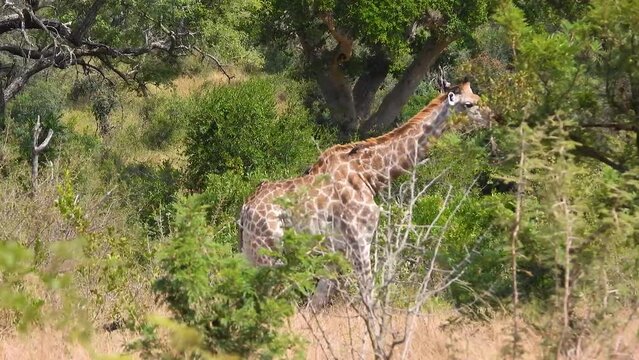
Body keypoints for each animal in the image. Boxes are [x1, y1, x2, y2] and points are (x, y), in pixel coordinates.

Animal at [240, 80, 496, 308]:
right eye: (469, 104)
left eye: (477, 96)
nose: (494, 117)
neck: (371, 176)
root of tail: (244, 210)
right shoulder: (359, 239)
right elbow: (368, 293)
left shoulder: (337, 250)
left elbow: (317, 301)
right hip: (268, 251)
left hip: (251, 253)